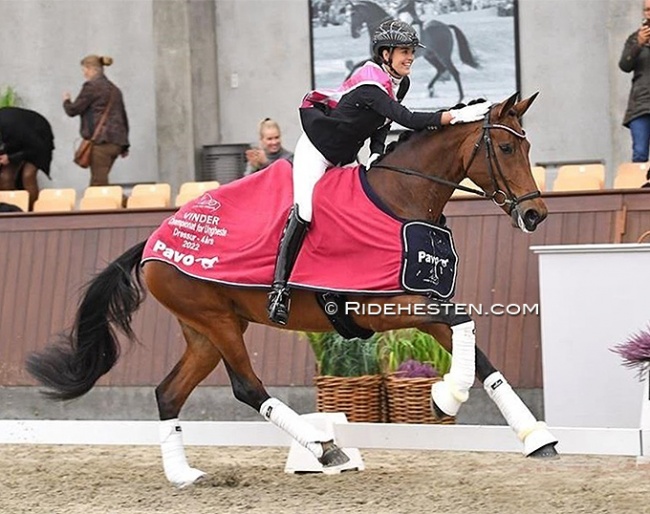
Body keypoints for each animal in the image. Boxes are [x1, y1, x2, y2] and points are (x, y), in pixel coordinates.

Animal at [26, 94, 556, 486]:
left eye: (527, 148)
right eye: (506, 150)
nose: (535, 215)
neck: (400, 201)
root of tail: (155, 240)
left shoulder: (425, 302)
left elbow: (479, 353)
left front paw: (534, 436)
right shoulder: (380, 306)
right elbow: (463, 322)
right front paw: (447, 397)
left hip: (204, 330)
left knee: (168, 393)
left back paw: (183, 475)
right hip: (217, 322)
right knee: (246, 386)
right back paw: (325, 448)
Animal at [346, 0, 478, 101]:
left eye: (354, 14)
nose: (354, 34)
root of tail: (445, 26)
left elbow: (357, 66)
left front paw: (348, 81)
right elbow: (358, 65)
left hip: (443, 55)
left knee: (454, 72)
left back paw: (460, 97)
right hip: (430, 55)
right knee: (441, 69)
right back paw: (430, 91)